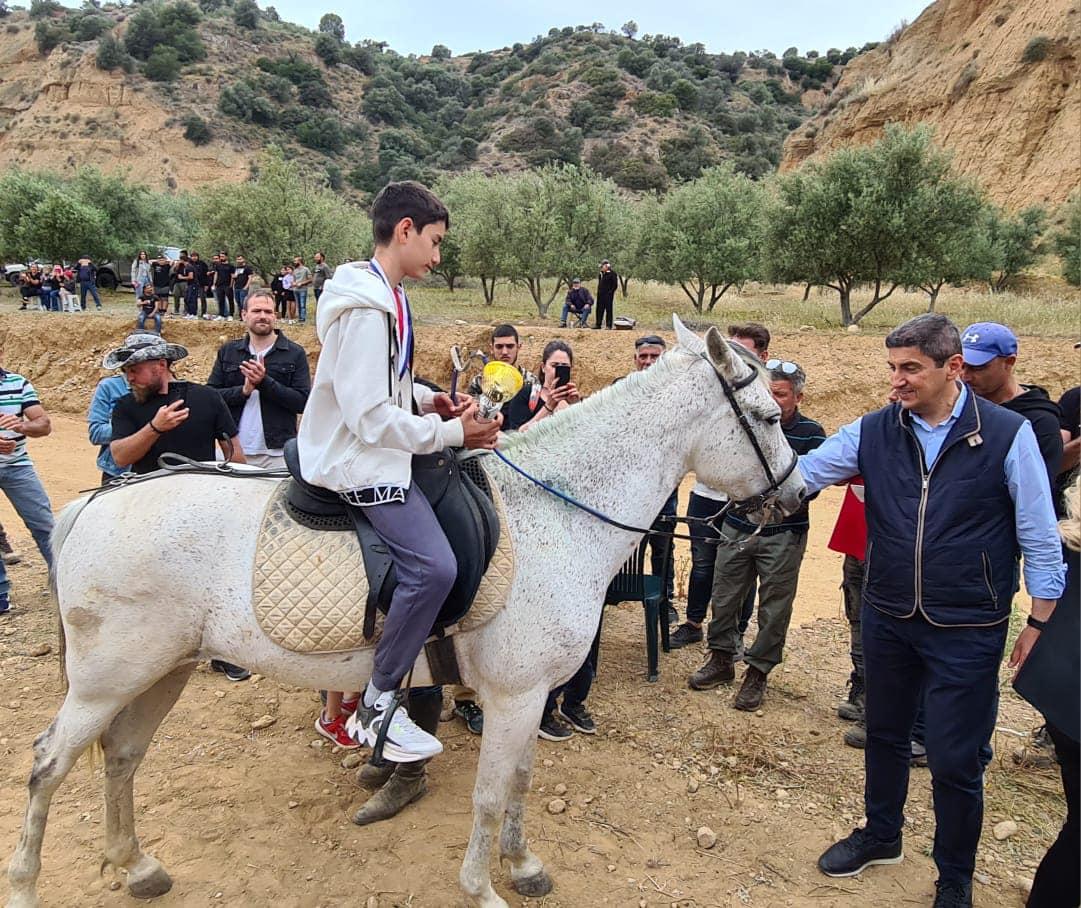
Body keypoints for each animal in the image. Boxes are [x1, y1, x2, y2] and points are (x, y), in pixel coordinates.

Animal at [6, 317, 804, 908]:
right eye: (766, 416)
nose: (797, 497)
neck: (554, 511)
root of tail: (95, 502)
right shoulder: (514, 695)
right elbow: (489, 795)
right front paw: (483, 888)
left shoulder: (532, 697)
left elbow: (519, 785)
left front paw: (524, 867)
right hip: (106, 680)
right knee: (48, 765)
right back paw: (28, 885)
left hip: (160, 669)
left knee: (121, 756)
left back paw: (136, 865)